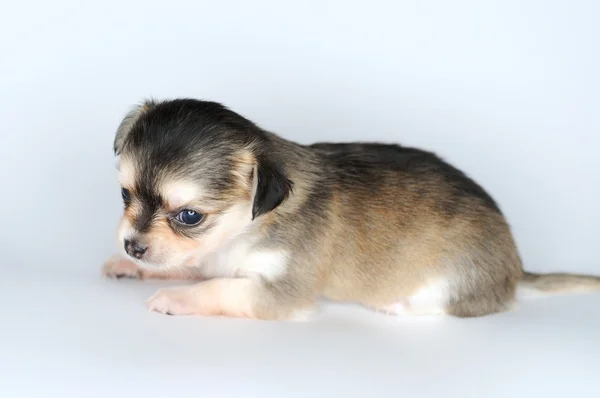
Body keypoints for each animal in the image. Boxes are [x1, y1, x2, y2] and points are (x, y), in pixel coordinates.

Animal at [103, 99, 600, 320]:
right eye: (125, 196)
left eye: (190, 216)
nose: (132, 246)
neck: (244, 231)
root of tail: (515, 271)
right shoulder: (207, 257)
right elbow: (191, 267)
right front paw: (131, 266)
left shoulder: (282, 290)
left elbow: (218, 288)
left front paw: (176, 298)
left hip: (448, 284)